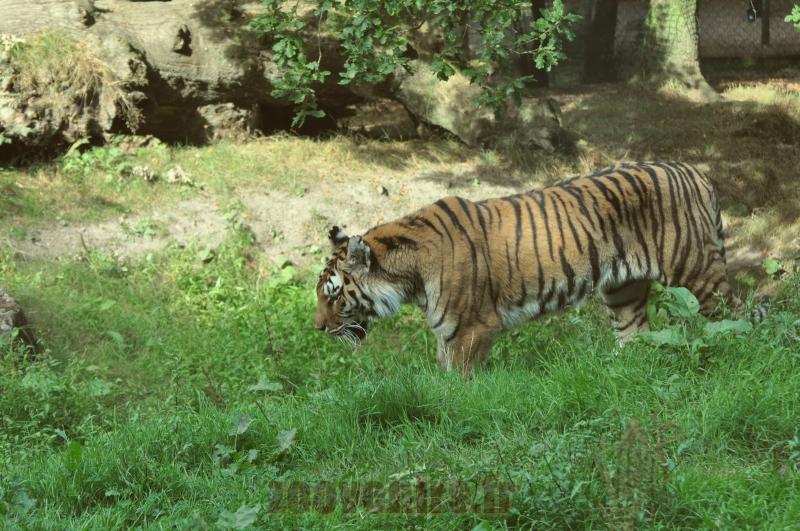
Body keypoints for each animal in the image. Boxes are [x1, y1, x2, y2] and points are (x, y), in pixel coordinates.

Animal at [315, 161, 755, 374]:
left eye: (334, 295)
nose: (317, 329)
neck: (410, 281)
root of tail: (696, 171)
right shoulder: (447, 333)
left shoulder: (472, 330)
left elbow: (457, 383)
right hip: (622, 290)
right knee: (636, 335)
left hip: (698, 273)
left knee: (740, 318)